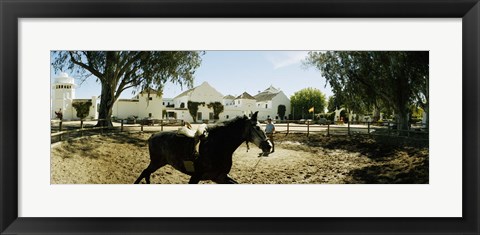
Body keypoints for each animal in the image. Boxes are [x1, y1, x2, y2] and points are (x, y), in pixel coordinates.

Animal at [133, 111, 272, 185]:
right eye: (257, 127)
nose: (269, 146)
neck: (218, 146)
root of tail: (153, 135)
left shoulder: (220, 177)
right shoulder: (196, 176)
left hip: (159, 162)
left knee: (147, 173)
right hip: (156, 162)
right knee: (145, 172)